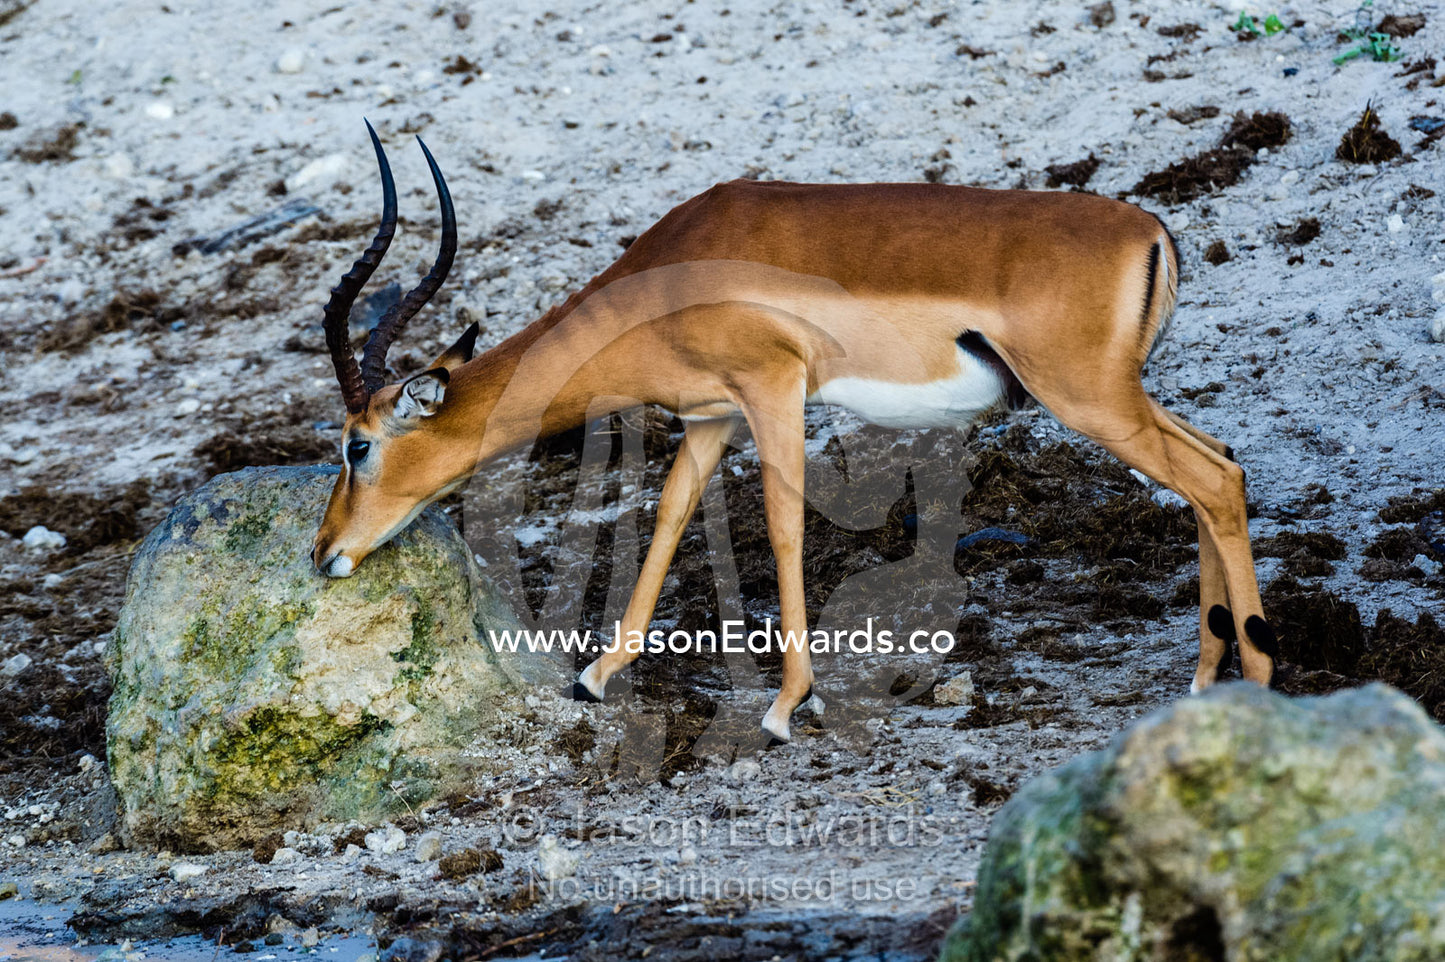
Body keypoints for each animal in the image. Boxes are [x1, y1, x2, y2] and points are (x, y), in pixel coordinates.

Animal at [312, 123, 1277, 744]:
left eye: (358, 443)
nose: (323, 554)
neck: (669, 276)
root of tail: (1149, 229)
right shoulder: (711, 417)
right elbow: (668, 517)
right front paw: (596, 675)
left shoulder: (773, 389)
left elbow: (780, 527)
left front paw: (784, 707)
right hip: (1119, 400)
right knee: (1217, 466)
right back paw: (1203, 686)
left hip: (1089, 401)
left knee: (1214, 482)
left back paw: (1260, 685)